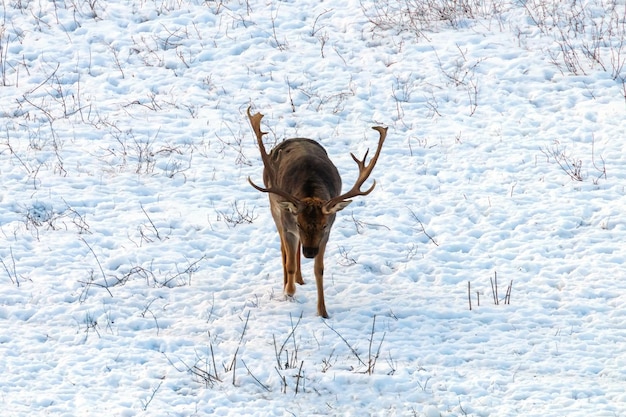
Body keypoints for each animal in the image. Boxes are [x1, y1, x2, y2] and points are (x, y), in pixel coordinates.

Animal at [245, 108, 386, 318]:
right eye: (298, 223)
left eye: (324, 224)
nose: (310, 252)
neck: (310, 190)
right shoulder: (288, 227)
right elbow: (289, 263)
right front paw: (288, 292)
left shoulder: (326, 234)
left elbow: (319, 269)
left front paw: (323, 311)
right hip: (274, 209)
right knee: (284, 250)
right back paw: (289, 282)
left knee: (295, 251)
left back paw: (300, 279)